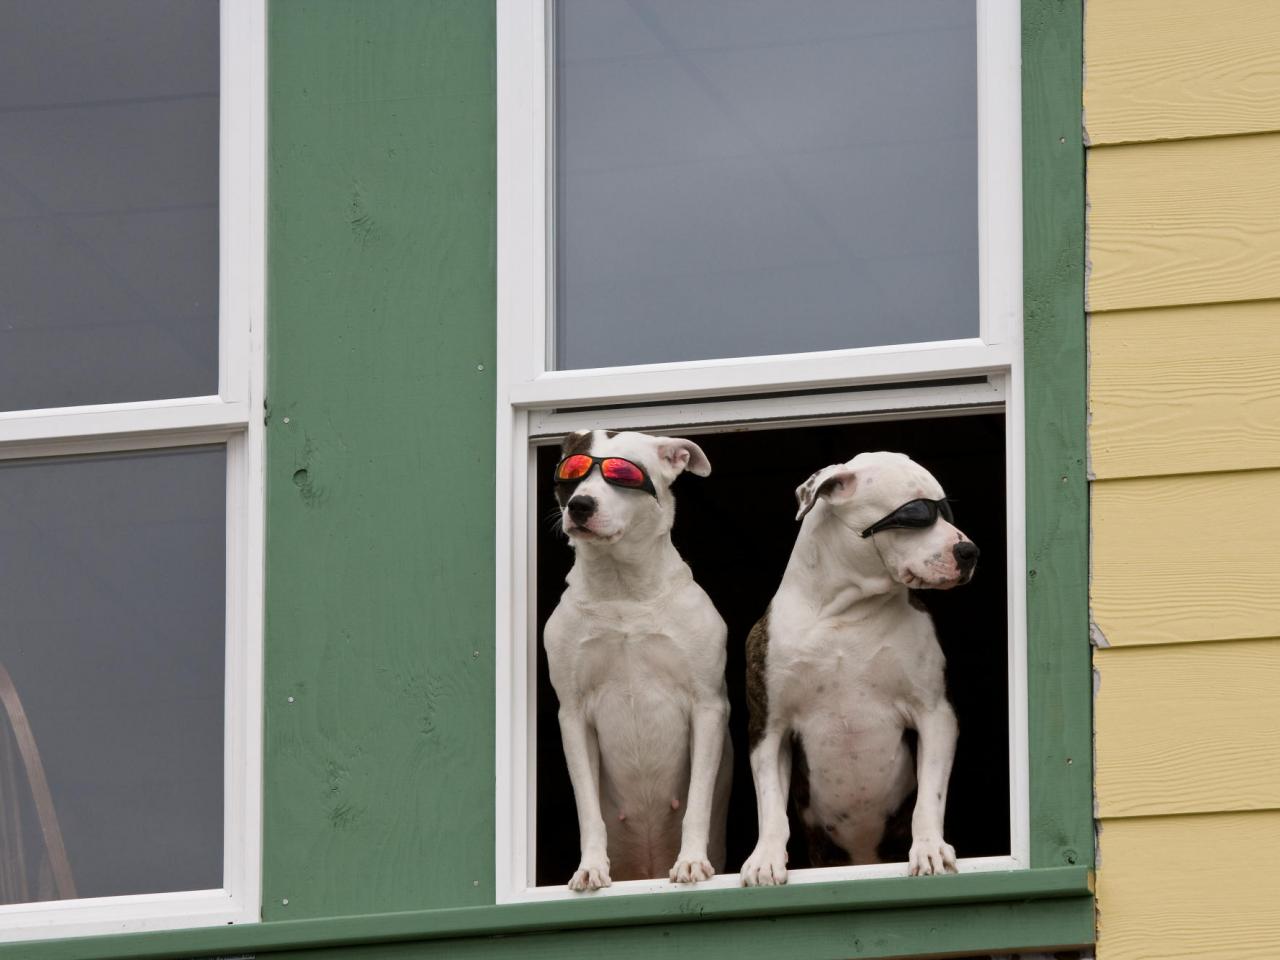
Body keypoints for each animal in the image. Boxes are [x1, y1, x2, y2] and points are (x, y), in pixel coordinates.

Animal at [545, 427, 737, 896]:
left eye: (624, 474)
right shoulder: (573, 715)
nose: (580, 505)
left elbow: (698, 800)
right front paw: (590, 867)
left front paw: (691, 861)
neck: (622, 589)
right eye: (572, 473)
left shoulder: (708, 706)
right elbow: (588, 809)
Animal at [737, 450, 972, 885]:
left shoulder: (936, 714)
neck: (845, 612)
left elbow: (929, 796)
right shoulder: (769, 728)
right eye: (915, 513)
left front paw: (929, 847)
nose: (969, 551)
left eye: (944, 509)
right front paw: (765, 858)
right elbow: (771, 805)